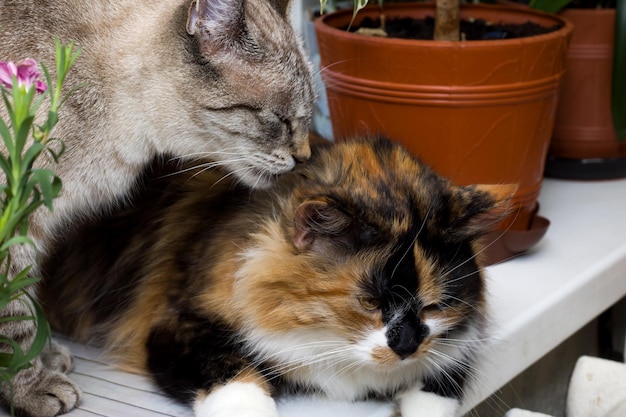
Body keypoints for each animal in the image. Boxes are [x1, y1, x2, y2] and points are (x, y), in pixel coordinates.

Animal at [0, 0, 312, 412]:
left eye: (308, 118)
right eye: (281, 120)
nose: (305, 158)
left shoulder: (35, 228)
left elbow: (25, 300)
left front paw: (45, 357)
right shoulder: (17, 220)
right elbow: (14, 319)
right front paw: (31, 387)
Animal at [42, 137, 512, 416]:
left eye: (434, 305)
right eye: (369, 303)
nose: (406, 347)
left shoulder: (456, 345)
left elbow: (438, 383)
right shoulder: (173, 326)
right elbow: (238, 382)